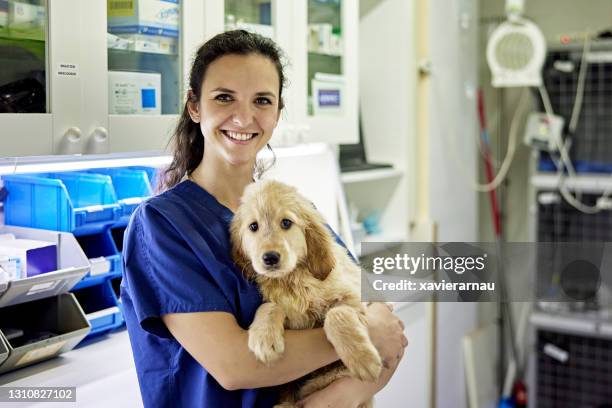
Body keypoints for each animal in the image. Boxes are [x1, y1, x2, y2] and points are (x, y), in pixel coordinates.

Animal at [231, 180, 382, 406]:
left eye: (286, 223)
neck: (293, 279)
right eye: (253, 226)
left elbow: (336, 315)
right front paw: (264, 338)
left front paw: (363, 359)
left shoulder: (354, 297)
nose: (270, 258)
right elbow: (269, 305)